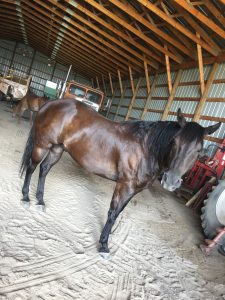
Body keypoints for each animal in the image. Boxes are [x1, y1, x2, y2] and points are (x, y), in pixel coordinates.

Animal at [20, 99, 221, 254]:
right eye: (175, 142)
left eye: (199, 150)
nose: (170, 181)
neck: (146, 148)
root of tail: (51, 104)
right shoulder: (125, 185)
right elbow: (112, 212)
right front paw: (103, 245)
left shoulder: (133, 189)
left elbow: (118, 213)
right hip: (42, 145)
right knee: (32, 168)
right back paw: (25, 198)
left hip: (57, 149)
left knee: (44, 169)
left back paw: (40, 201)